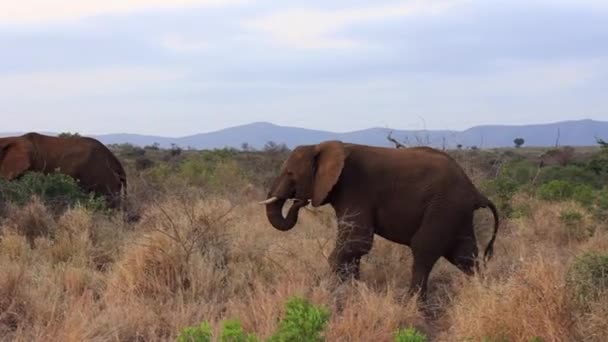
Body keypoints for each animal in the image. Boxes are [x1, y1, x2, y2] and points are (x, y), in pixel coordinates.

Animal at [260, 140, 498, 298]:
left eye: (290, 174)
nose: (298, 201)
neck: (321, 146)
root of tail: (475, 191)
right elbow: (354, 247)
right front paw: (352, 290)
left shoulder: (355, 188)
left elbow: (356, 241)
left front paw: (335, 291)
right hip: (456, 212)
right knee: (464, 255)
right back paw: (482, 290)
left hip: (445, 206)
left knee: (423, 248)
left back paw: (410, 303)